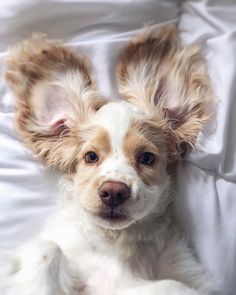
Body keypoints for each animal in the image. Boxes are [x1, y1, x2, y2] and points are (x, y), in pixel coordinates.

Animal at [0, 26, 218, 295]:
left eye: (147, 158)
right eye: (91, 156)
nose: (113, 192)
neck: (113, 242)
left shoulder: (187, 271)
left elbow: (171, 285)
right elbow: (46, 249)